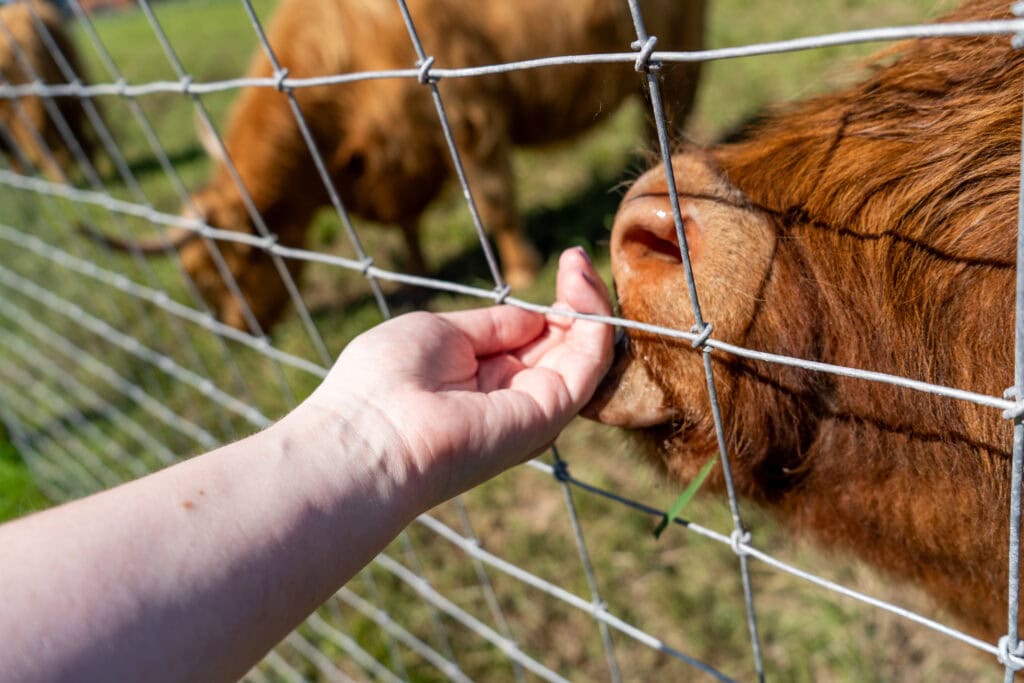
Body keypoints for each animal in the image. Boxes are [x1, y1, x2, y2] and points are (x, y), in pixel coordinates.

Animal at [90, 0, 705, 331]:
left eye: (226, 272)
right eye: (193, 275)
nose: (238, 331)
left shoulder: (469, 116)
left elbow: (494, 202)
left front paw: (521, 268)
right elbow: (408, 228)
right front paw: (414, 283)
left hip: (674, 50)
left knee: (665, 120)